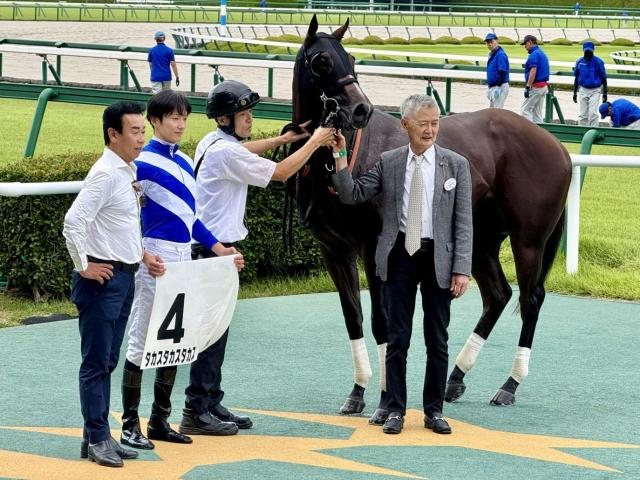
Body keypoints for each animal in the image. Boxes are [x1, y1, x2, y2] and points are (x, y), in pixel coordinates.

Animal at [289, 15, 572, 418]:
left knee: (531, 299)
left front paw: (383, 402)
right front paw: (357, 392)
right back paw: (456, 377)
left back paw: (509, 385)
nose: (360, 110)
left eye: (351, 57)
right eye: (322, 61)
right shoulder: (334, 250)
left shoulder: (373, 249)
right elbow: (354, 318)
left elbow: (382, 323)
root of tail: (558, 147)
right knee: (498, 295)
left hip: (528, 241)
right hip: (478, 240)